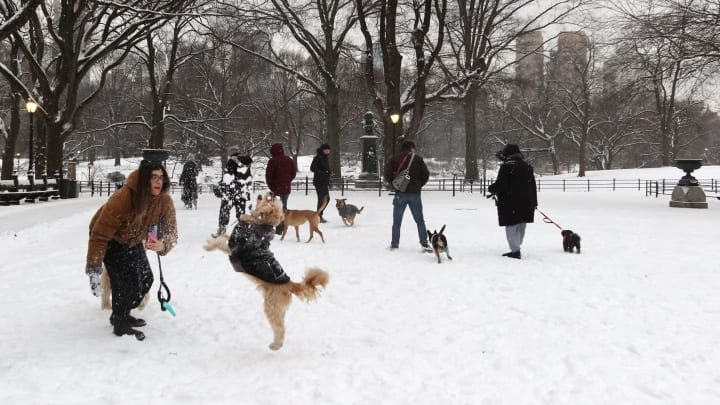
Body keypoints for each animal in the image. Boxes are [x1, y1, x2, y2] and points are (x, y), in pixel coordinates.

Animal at [201, 193, 328, 350]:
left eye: (270, 201)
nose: (270, 193)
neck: (254, 226)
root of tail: (290, 284)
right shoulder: (231, 240)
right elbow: (222, 237)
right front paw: (211, 241)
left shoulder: (233, 250)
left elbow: (218, 243)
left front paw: (208, 247)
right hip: (278, 309)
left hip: (271, 307)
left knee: (280, 328)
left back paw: (276, 345)